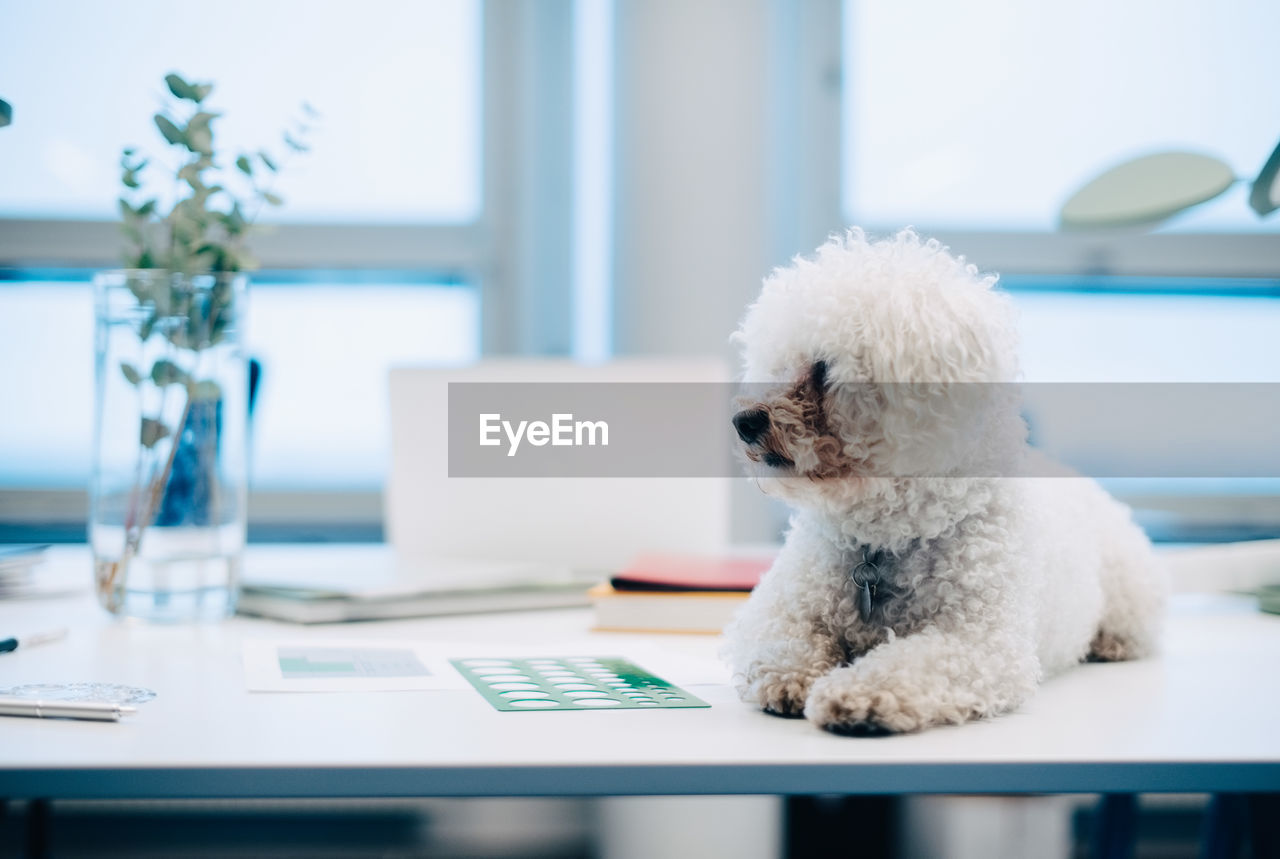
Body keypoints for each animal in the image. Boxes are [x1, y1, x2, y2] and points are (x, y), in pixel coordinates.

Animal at [727, 230, 1167, 737]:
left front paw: (857, 693)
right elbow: (783, 643)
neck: (882, 540)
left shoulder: (979, 645)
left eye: (823, 368)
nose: (743, 421)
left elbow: (912, 662)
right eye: (775, 365)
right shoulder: (779, 611)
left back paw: (1109, 644)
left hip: (1129, 586)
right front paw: (790, 676)